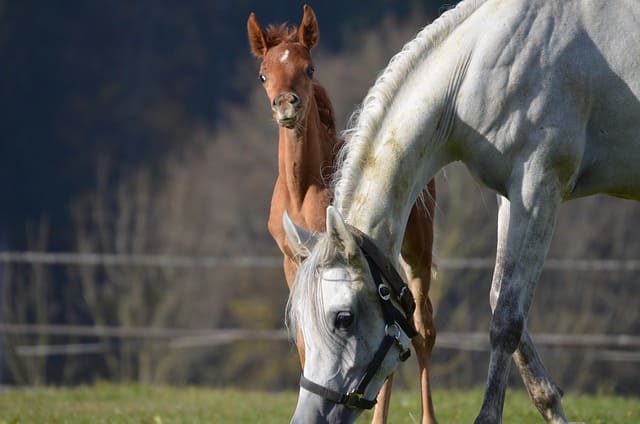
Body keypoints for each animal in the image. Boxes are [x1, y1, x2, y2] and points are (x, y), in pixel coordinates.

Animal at [247, 5, 438, 424]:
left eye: (309, 68)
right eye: (263, 73)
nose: (286, 105)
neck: (301, 190)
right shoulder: (295, 260)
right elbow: (309, 338)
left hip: (418, 248)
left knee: (422, 327)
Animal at [283, 0, 640, 423]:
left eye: (343, 319)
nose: (307, 417)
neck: (478, 67)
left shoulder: (539, 188)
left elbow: (507, 321)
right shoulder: (513, 198)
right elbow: (501, 300)